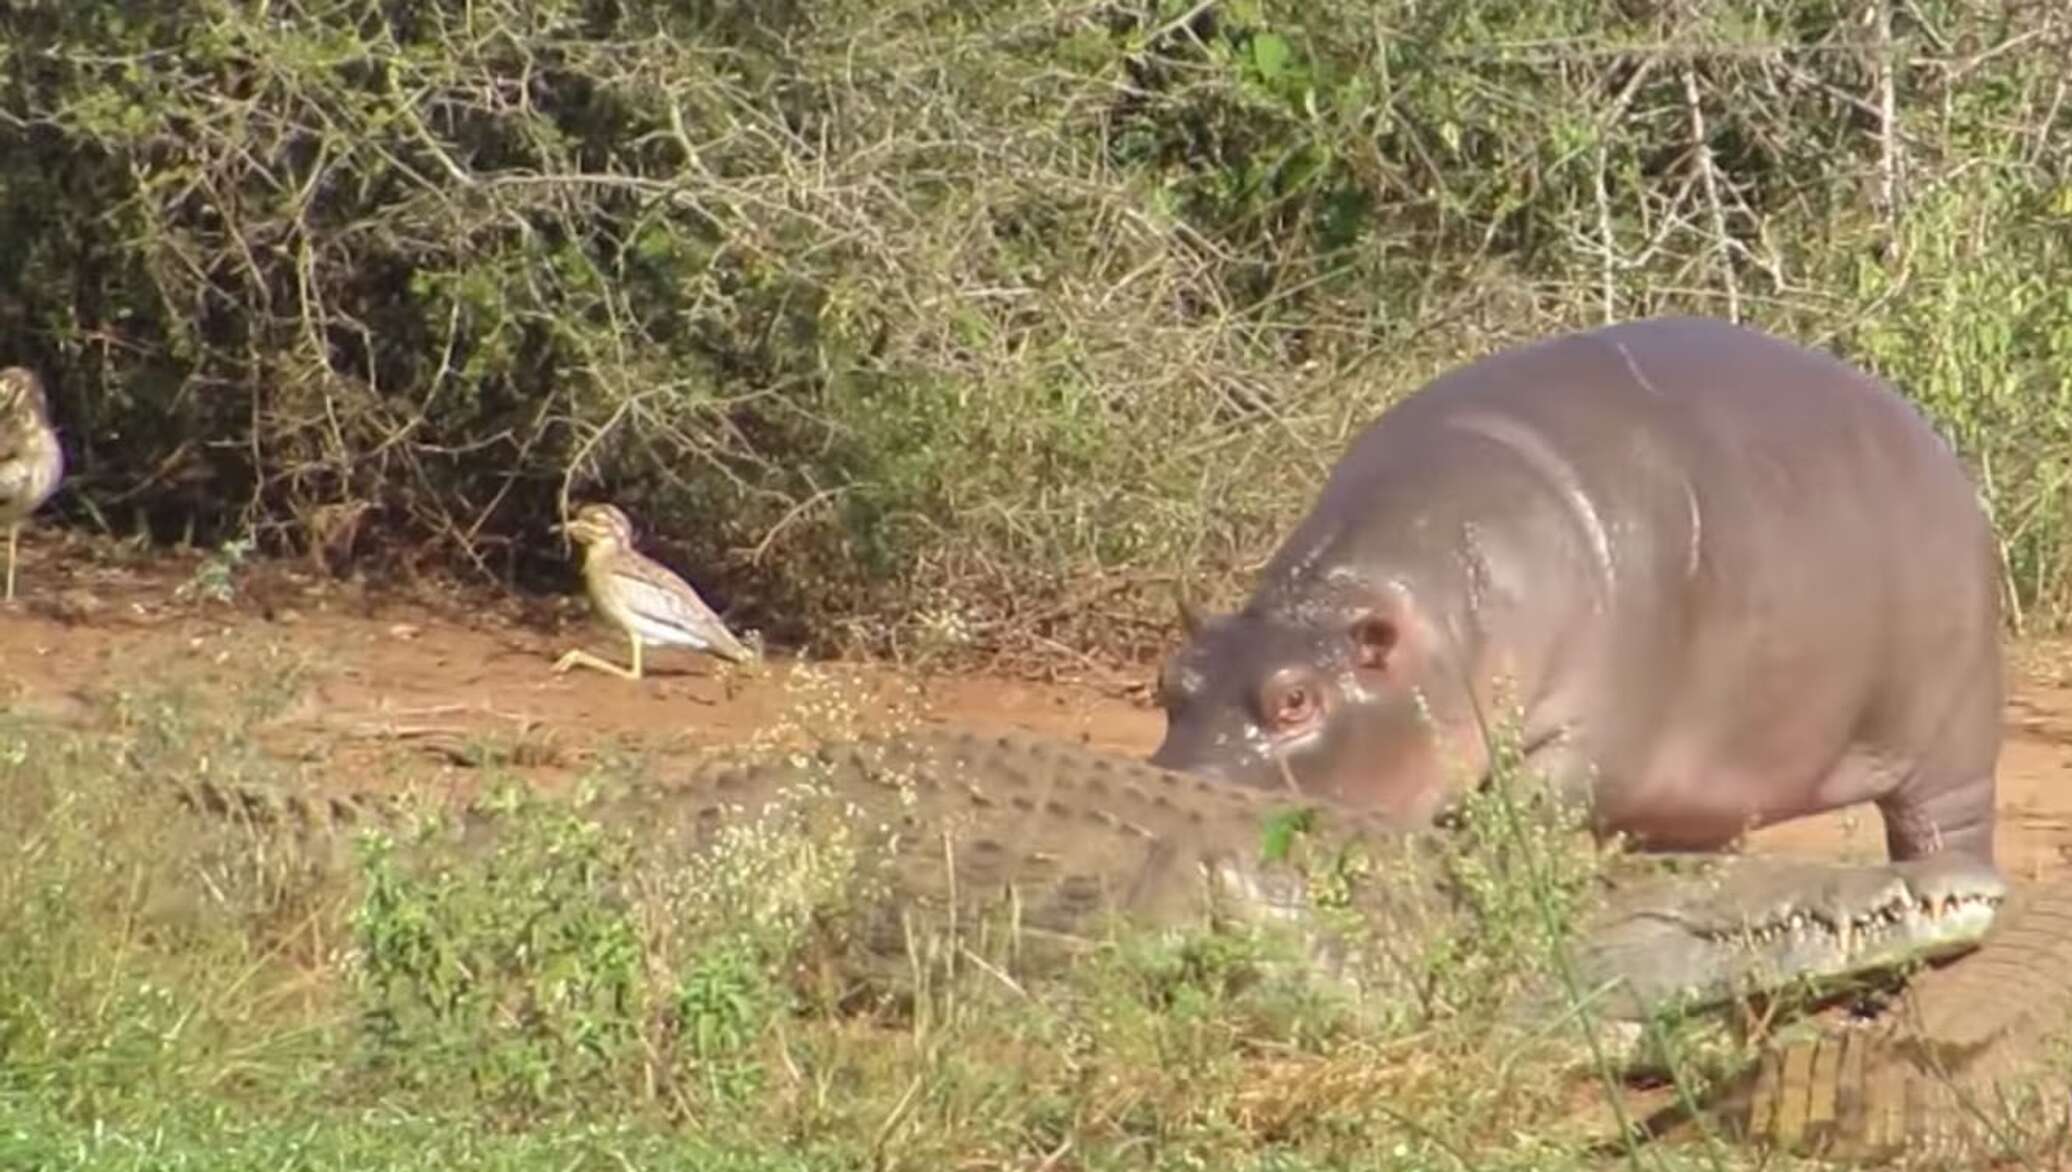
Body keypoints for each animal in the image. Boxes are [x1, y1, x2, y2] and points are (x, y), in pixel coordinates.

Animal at [1160, 316, 1997, 869]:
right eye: (1170, 682)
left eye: (1295, 699)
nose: (1179, 788)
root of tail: (1931, 442)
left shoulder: (1591, 736)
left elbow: (1528, 807)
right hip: (1713, 780)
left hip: (1952, 736)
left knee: (1944, 827)